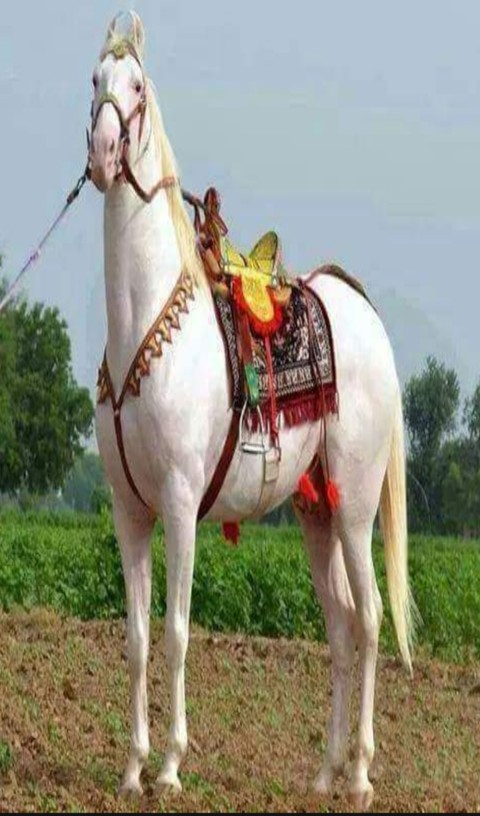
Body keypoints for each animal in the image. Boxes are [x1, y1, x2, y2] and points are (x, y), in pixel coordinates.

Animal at [90, 12, 413, 809]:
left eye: (137, 88)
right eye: (95, 81)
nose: (104, 154)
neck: (143, 325)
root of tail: (363, 315)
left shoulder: (179, 506)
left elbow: (177, 631)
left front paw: (171, 766)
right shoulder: (128, 511)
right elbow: (136, 637)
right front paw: (132, 766)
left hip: (355, 507)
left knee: (371, 621)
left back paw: (360, 773)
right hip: (315, 513)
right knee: (341, 625)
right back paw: (324, 772)